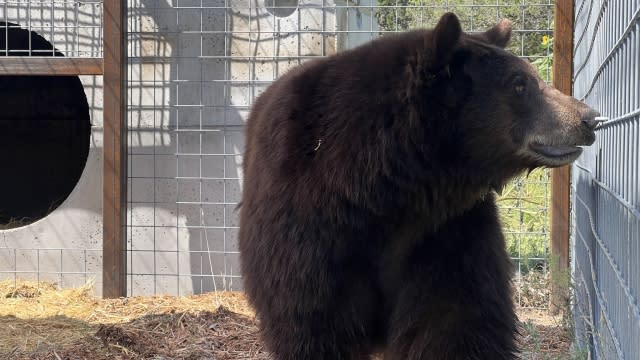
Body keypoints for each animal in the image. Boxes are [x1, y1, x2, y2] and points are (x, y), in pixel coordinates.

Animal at [238, 11, 596, 360]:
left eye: (529, 75)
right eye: (520, 83)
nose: (589, 118)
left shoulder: (446, 232)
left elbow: (457, 319)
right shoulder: (309, 232)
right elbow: (312, 322)